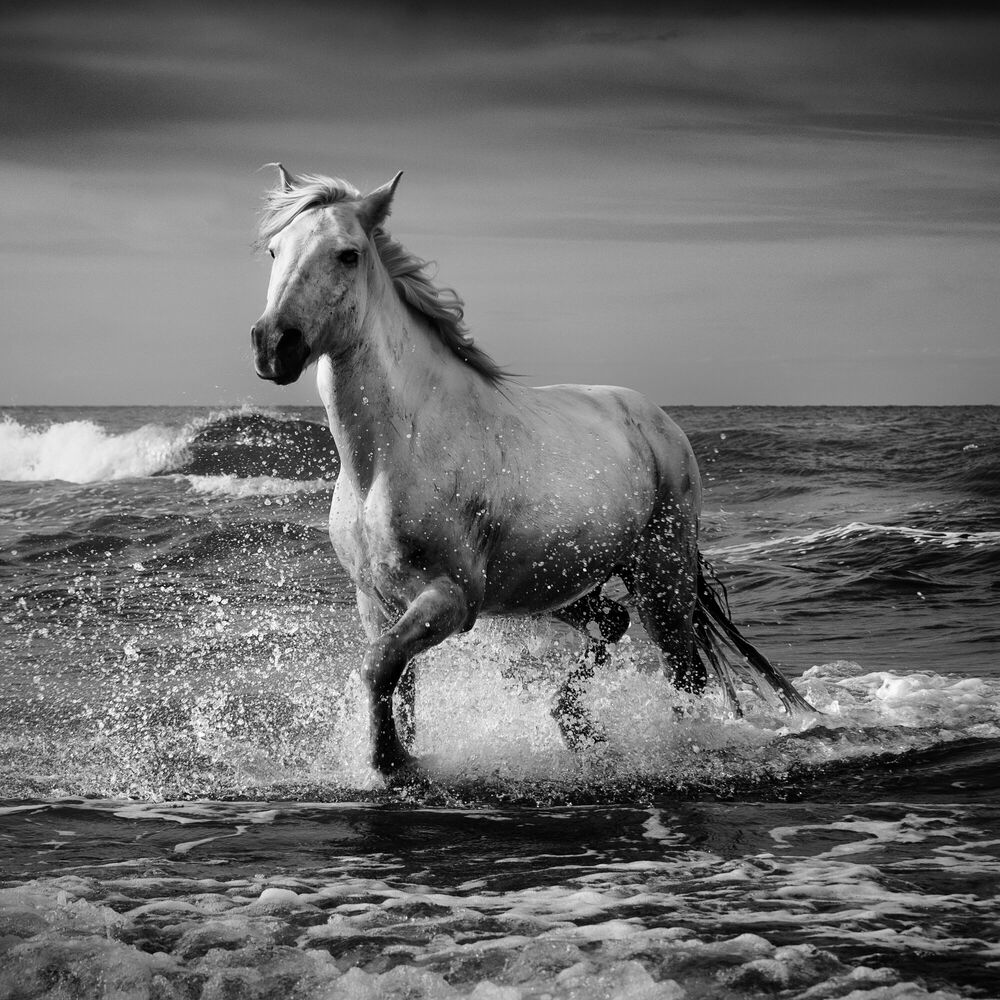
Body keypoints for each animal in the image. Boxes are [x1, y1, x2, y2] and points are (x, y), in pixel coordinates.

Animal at [250, 166, 812, 772]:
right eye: (275, 250)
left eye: (348, 255)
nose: (273, 344)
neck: (389, 458)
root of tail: (661, 422)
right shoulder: (375, 602)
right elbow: (398, 685)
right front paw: (403, 756)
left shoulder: (452, 599)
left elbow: (378, 667)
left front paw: (394, 766)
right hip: (559, 583)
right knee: (613, 624)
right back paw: (575, 728)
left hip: (661, 574)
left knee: (683, 671)